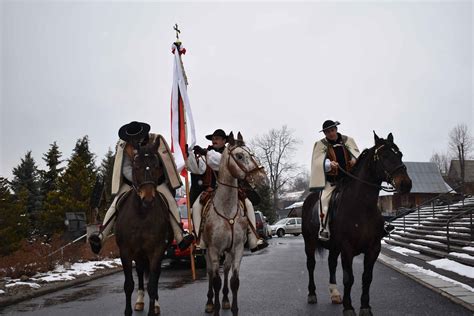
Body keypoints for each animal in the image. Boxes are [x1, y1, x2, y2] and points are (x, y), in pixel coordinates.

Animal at [115, 138, 173, 316]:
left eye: (155, 166)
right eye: (136, 166)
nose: (148, 198)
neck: (141, 215)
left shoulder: (157, 250)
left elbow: (153, 284)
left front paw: (152, 310)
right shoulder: (126, 251)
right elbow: (129, 284)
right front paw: (128, 311)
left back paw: (155, 305)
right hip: (138, 254)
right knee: (140, 272)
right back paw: (140, 301)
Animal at [304, 132, 412, 314]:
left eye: (400, 154)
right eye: (384, 155)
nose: (406, 184)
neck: (361, 206)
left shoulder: (373, 248)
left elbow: (366, 278)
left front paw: (365, 306)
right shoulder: (347, 249)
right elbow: (349, 278)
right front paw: (349, 308)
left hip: (334, 247)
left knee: (331, 264)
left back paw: (335, 294)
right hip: (310, 242)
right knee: (311, 265)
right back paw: (312, 294)